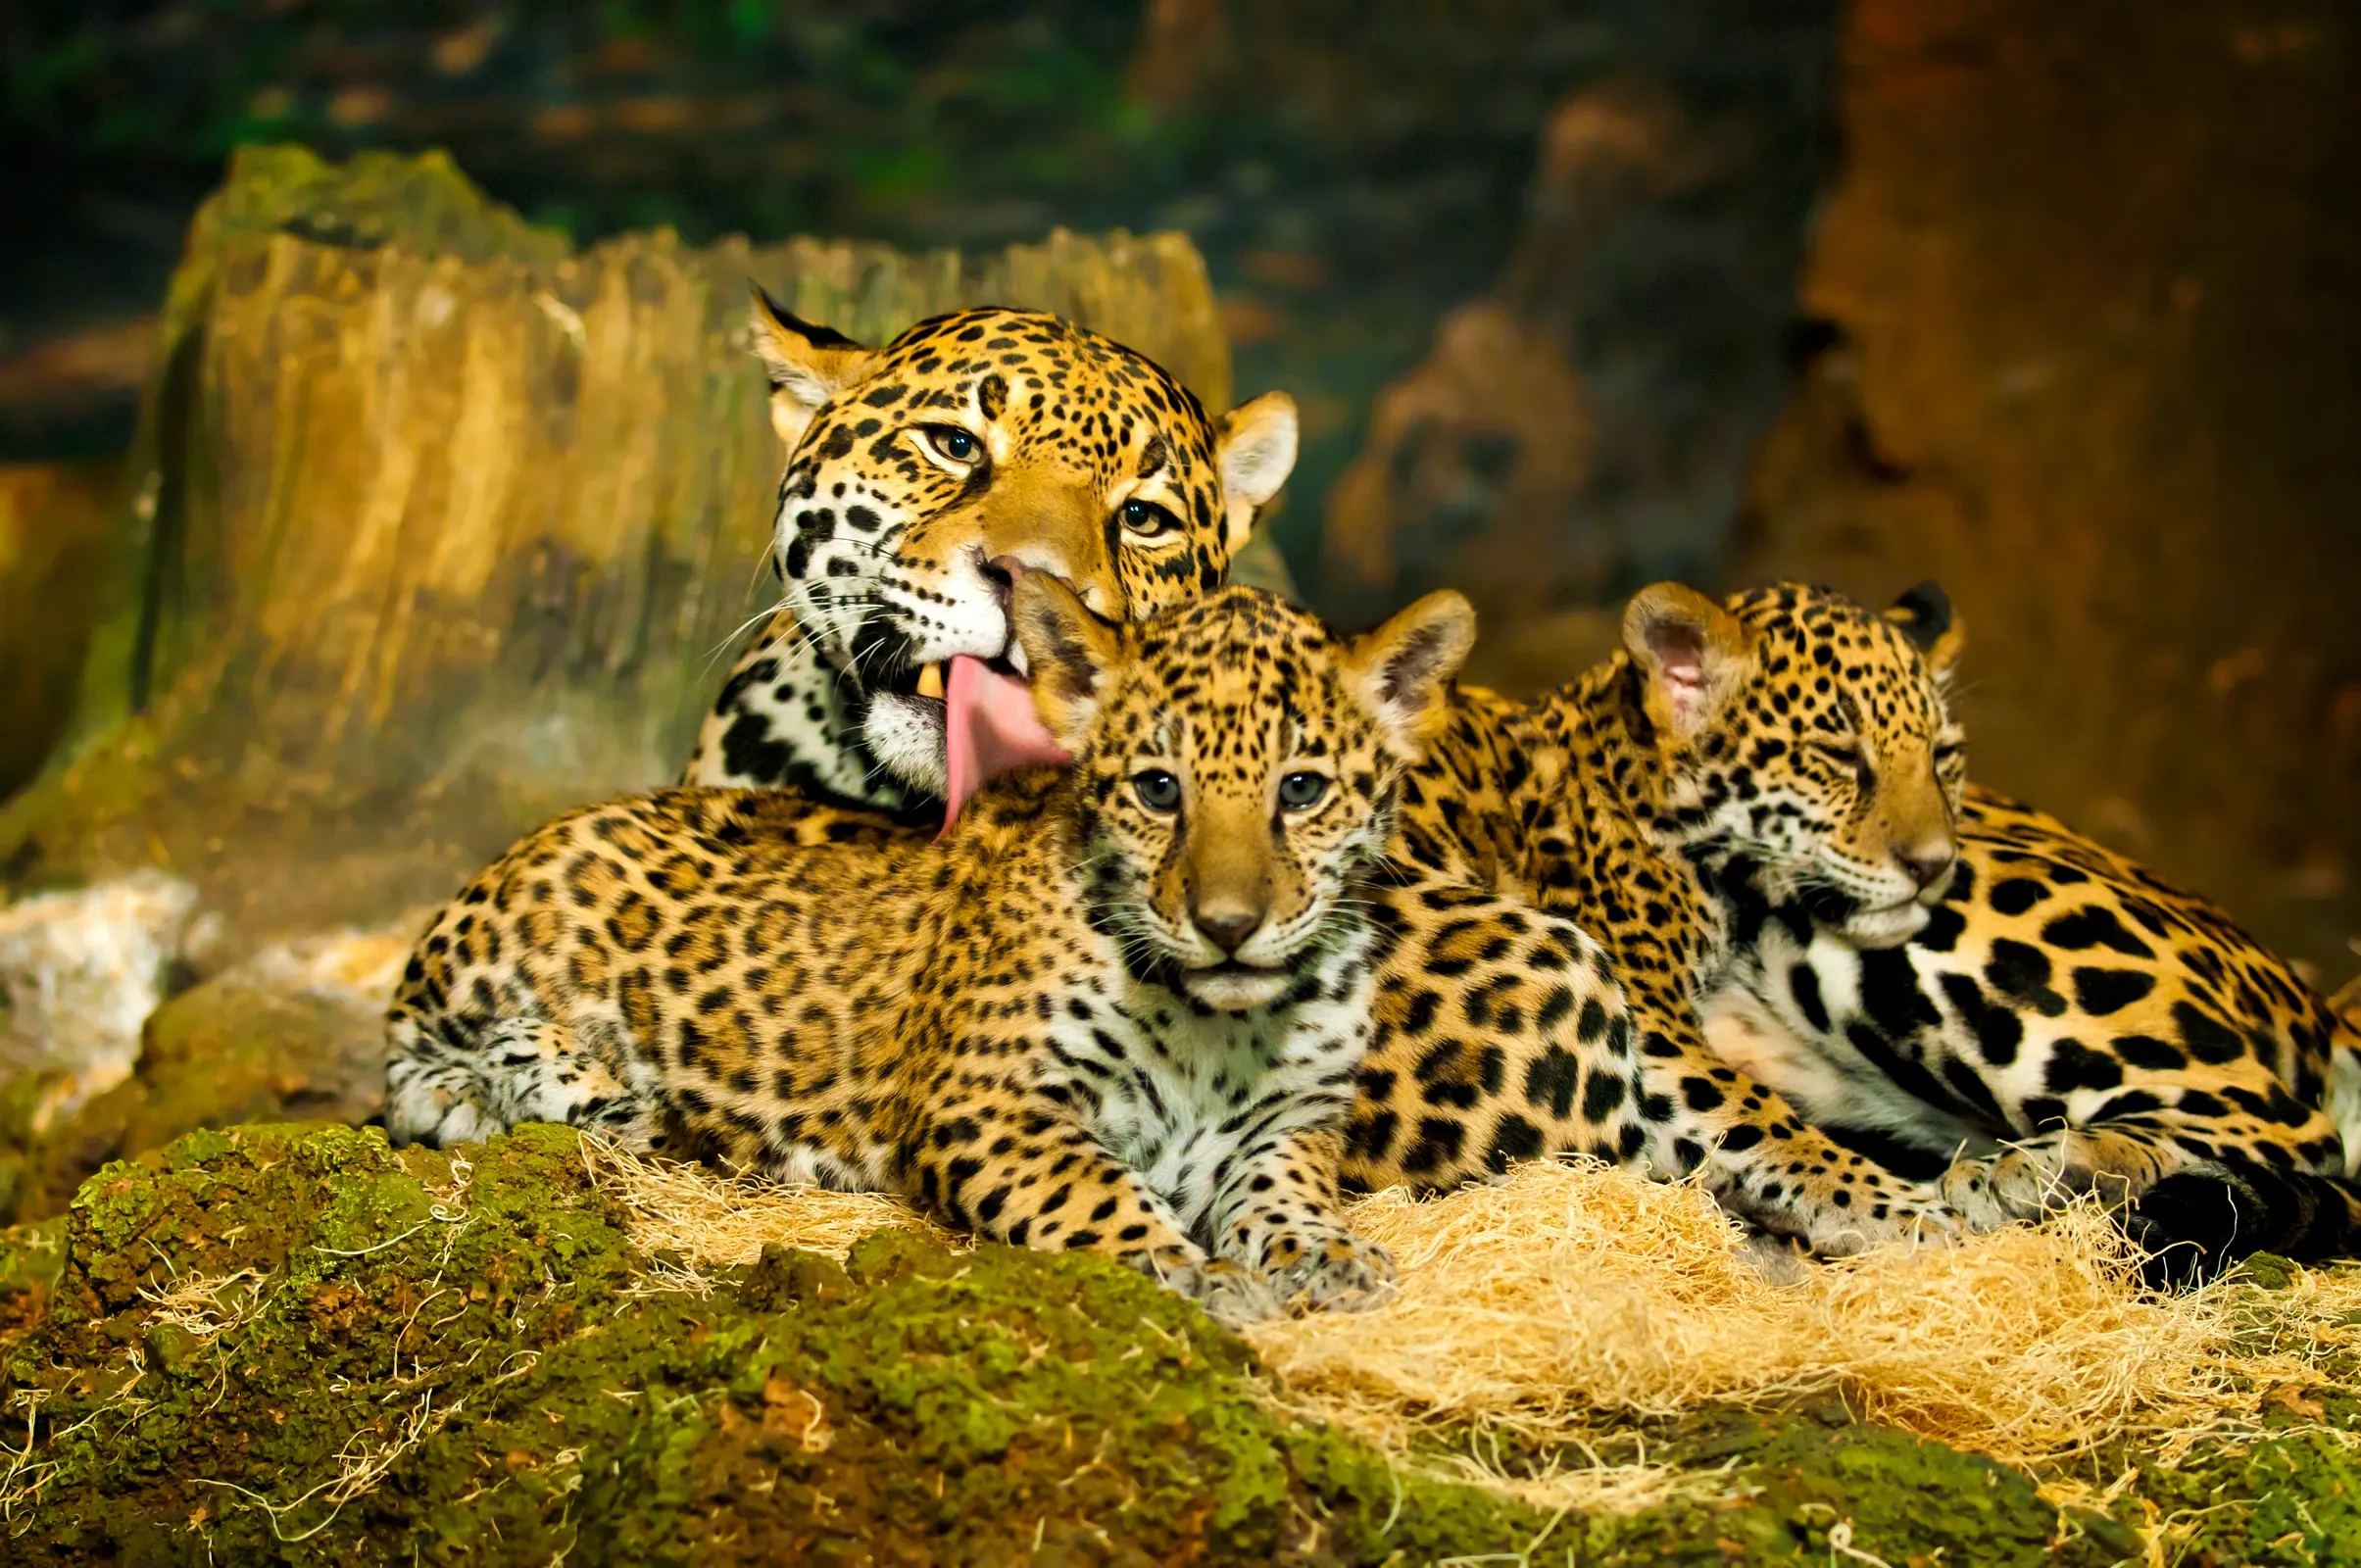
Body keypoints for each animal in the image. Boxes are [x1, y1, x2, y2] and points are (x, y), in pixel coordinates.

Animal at [386, 575, 1650, 1325]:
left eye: (1301, 790)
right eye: (1157, 789)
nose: (1227, 923)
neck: (1221, 1027)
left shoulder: (1290, 1125)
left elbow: (1287, 1192)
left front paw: (1317, 1254)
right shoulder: (989, 1106)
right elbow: (1098, 1193)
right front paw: (1194, 1273)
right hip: (522, 926)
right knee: (415, 1060)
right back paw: (554, 1081)